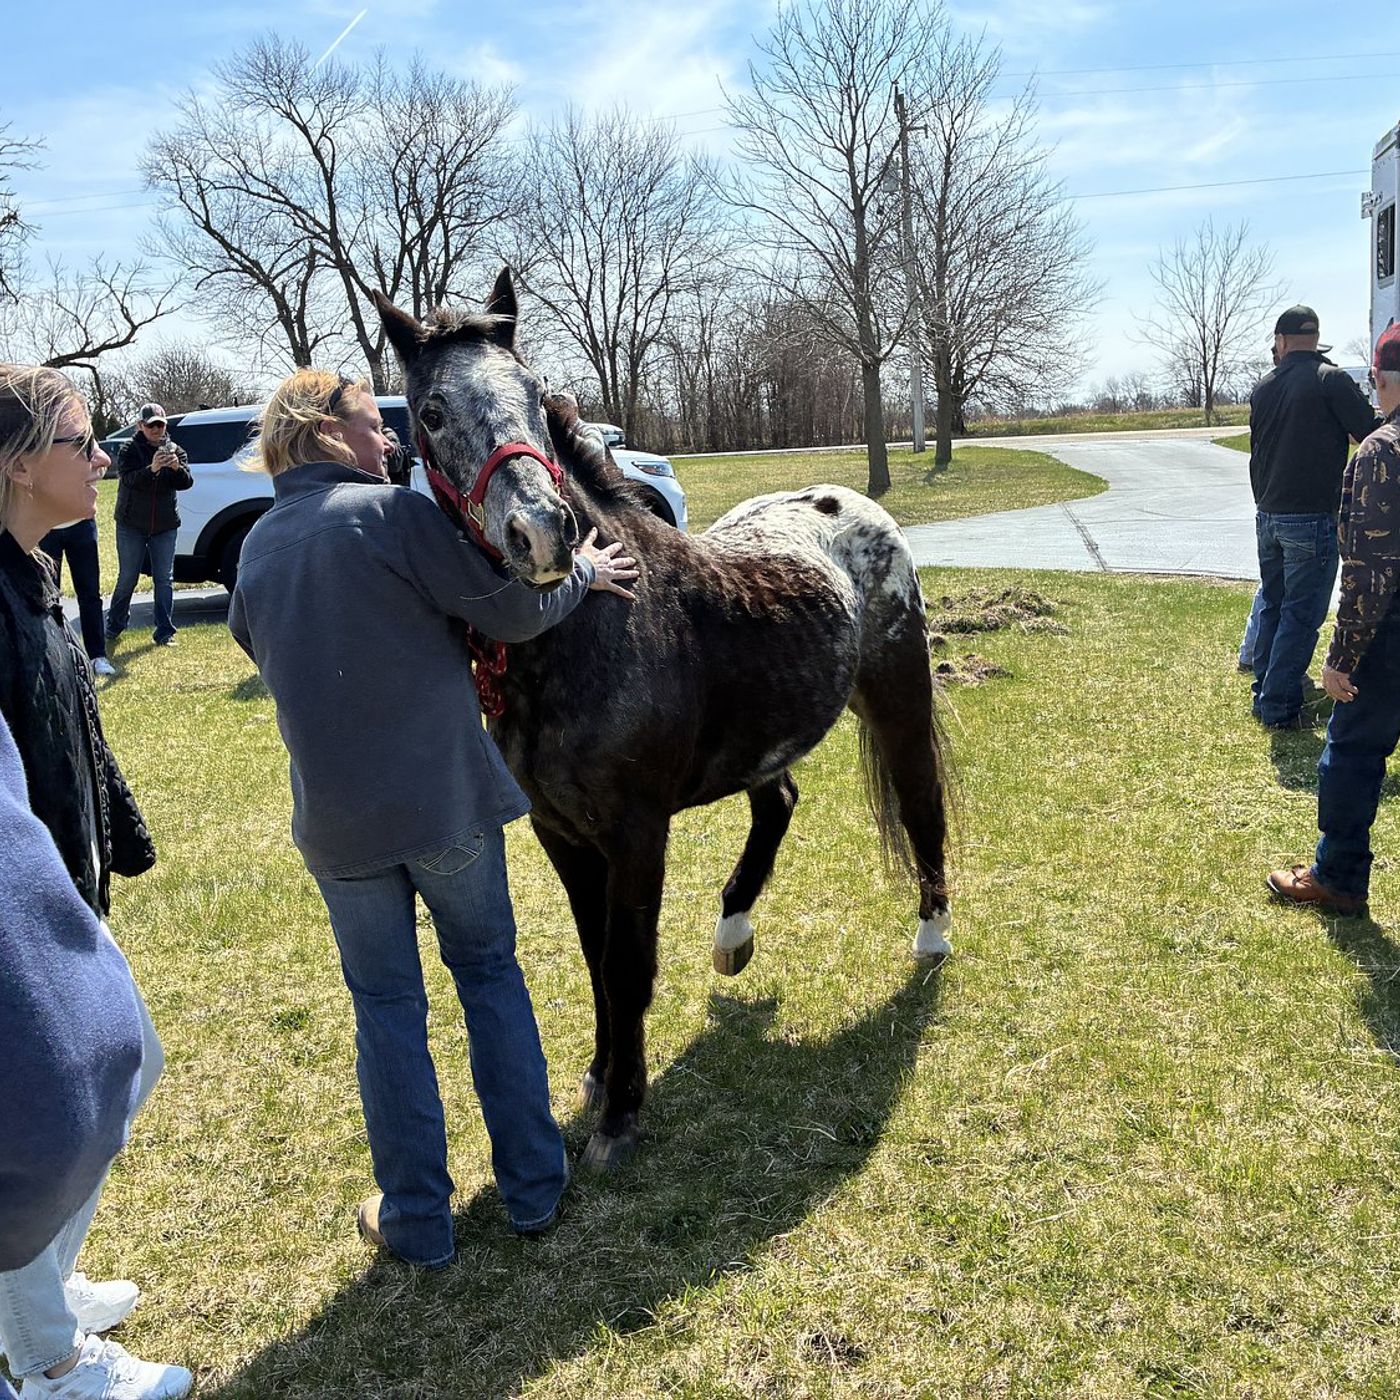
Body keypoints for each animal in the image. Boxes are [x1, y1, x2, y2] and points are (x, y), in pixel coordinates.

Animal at [373, 269, 951, 1171]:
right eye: (429, 412)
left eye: (535, 391)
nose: (543, 533)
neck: (596, 622)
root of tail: (843, 501)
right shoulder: (562, 835)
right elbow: (593, 957)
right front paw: (600, 1075)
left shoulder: (637, 833)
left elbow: (626, 964)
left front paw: (621, 1112)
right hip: (762, 743)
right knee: (778, 803)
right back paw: (733, 934)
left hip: (897, 699)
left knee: (921, 801)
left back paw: (931, 939)